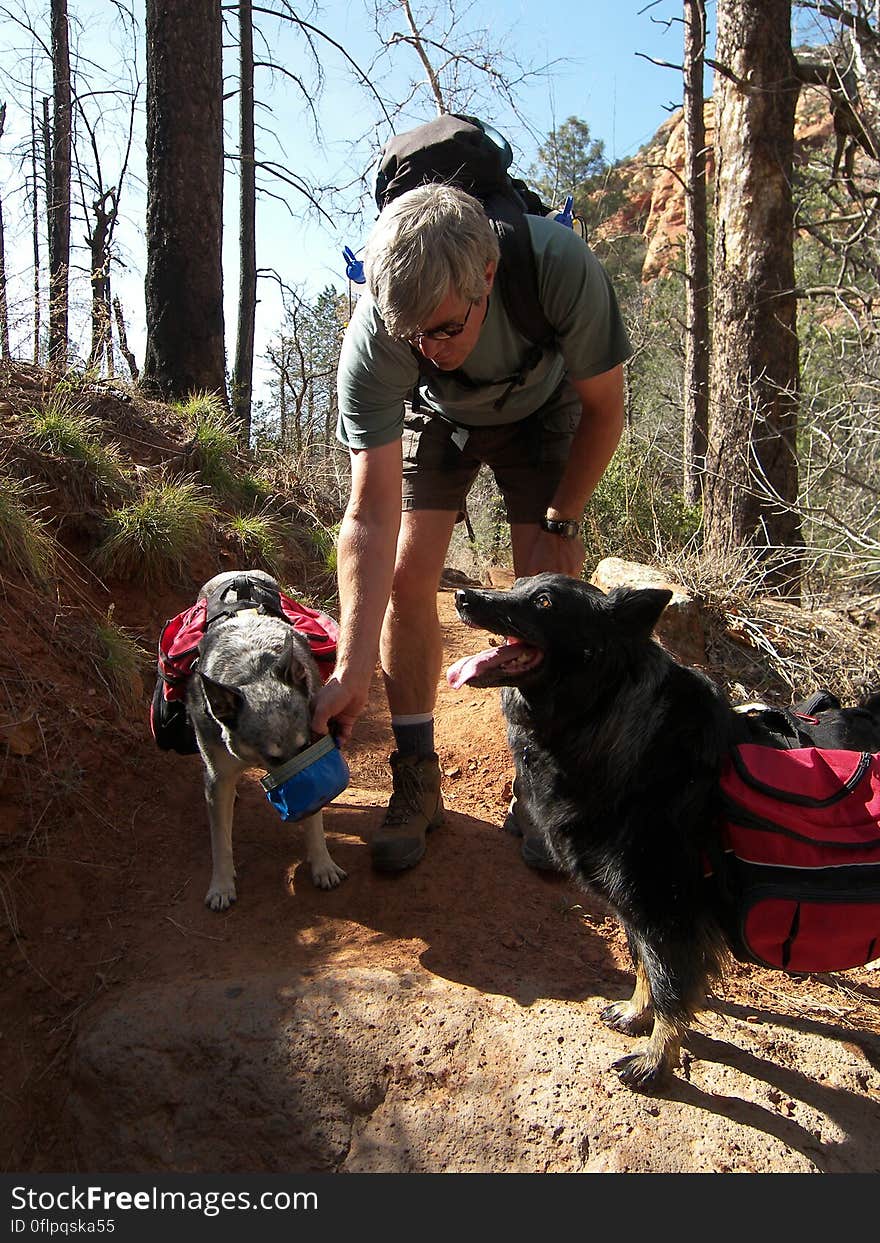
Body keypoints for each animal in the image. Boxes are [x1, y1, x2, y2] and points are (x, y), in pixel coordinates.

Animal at [186, 569, 348, 909]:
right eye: (273, 757)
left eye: (306, 746)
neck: (253, 672)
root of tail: (238, 573)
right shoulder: (218, 776)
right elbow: (220, 840)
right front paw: (221, 886)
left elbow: (315, 824)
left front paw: (323, 865)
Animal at [449, 571, 875, 1088]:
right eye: (520, 584)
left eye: (544, 602)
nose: (462, 596)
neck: (602, 714)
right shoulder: (638, 908)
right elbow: (643, 966)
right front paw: (636, 1014)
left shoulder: (664, 907)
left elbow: (670, 987)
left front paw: (656, 1061)